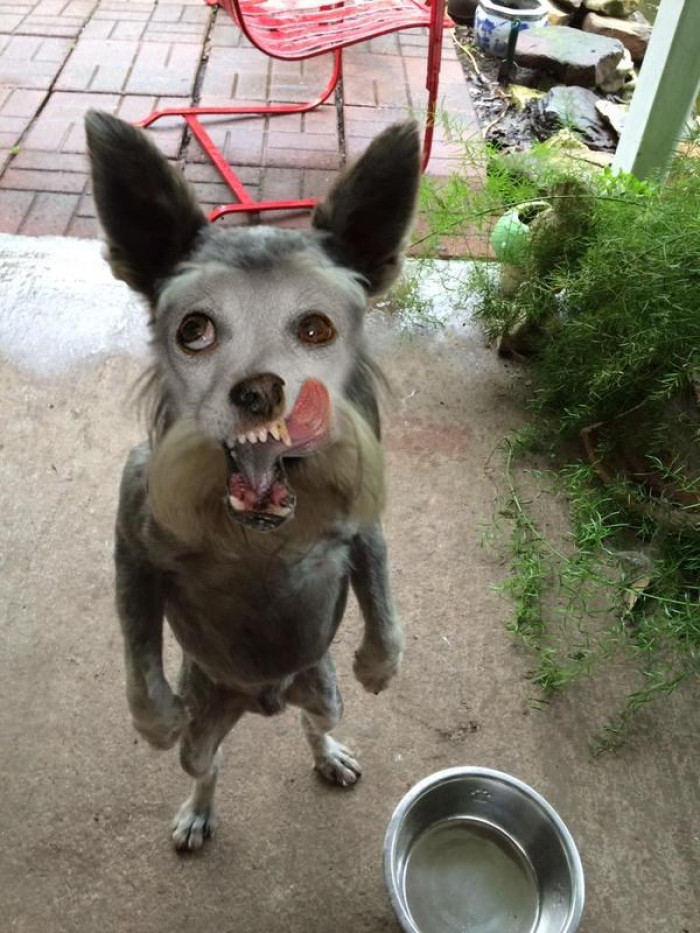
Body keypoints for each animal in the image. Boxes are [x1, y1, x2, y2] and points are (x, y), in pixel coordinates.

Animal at [85, 111, 418, 852]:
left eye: (319, 326)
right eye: (194, 329)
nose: (263, 391)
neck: (258, 533)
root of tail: (264, 698)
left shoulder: (363, 532)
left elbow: (384, 606)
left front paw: (381, 666)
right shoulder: (132, 550)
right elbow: (135, 650)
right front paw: (152, 718)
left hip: (322, 690)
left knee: (312, 726)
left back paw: (330, 755)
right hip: (208, 724)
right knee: (208, 765)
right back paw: (197, 810)